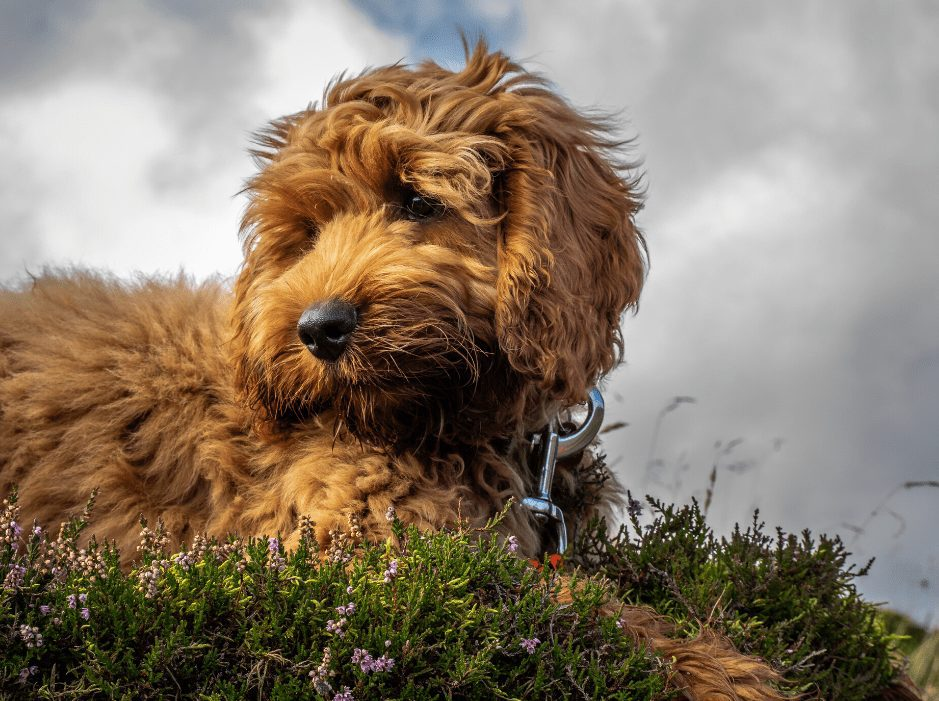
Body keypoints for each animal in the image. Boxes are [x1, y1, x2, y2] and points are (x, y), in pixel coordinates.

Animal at [1, 45, 792, 700]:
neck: (450, 422)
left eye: (417, 200)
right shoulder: (352, 544)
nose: (317, 329)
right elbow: (562, 602)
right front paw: (720, 671)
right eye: (307, 234)